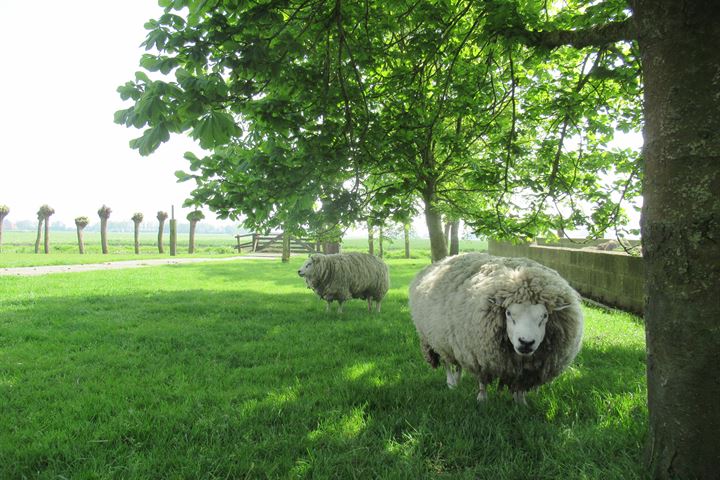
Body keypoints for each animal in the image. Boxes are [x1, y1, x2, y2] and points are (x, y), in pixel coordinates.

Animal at [408, 251, 584, 404]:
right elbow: (482, 381)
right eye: (508, 313)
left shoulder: (524, 371)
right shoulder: (480, 356)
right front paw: (482, 401)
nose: (526, 342)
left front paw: (521, 404)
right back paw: (451, 383)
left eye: (545, 316)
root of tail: (443, 260)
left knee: (457, 363)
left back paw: (457, 381)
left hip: (454, 342)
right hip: (436, 338)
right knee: (446, 363)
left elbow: (520, 388)